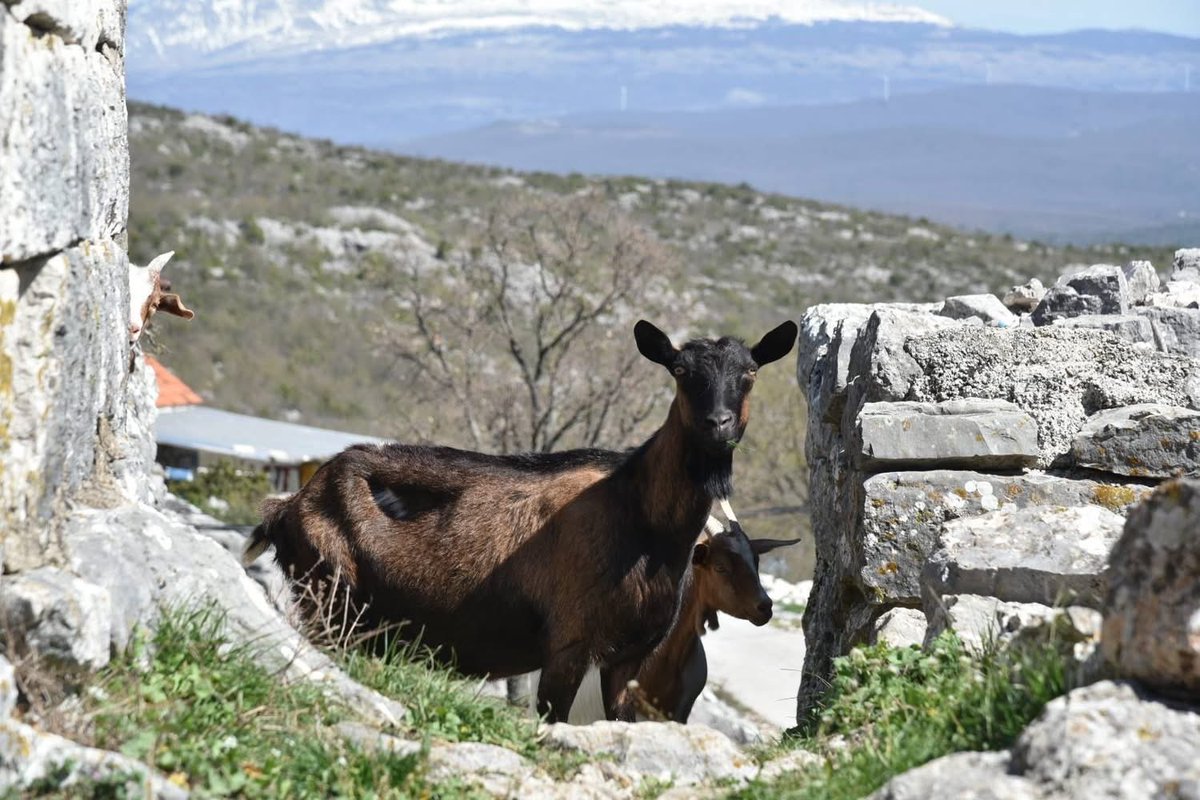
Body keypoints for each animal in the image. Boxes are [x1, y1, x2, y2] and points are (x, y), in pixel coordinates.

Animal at [244, 319, 798, 722]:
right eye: (680, 371)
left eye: (750, 372)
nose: (717, 424)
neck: (642, 523)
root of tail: (288, 505)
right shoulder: (569, 644)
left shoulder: (629, 658)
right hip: (328, 599)